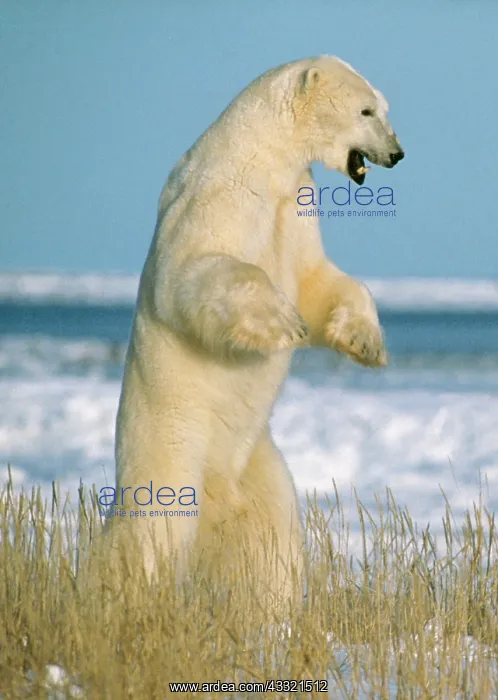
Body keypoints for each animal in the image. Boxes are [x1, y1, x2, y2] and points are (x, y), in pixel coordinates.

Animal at [110, 55, 404, 604]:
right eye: (366, 110)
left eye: (383, 107)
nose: (397, 154)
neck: (264, 153)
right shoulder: (220, 197)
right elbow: (193, 271)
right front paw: (282, 323)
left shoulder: (297, 206)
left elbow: (318, 280)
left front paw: (365, 341)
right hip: (171, 447)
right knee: (153, 531)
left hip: (259, 466)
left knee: (276, 545)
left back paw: (274, 609)